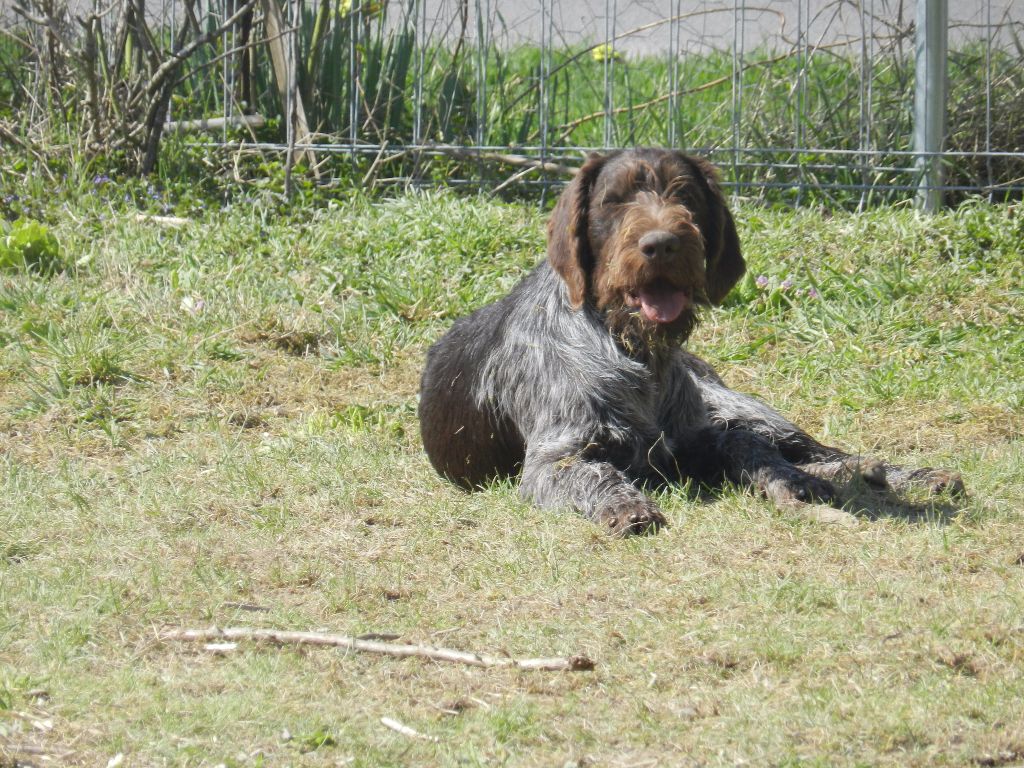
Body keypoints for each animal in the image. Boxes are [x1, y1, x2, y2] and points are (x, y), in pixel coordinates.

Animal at [415, 148, 958, 536]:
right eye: (615, 200)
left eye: (685, 196)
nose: (661, 244)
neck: (634, 351)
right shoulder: (555, 460)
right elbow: (597, 474)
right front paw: (628, 506)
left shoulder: (702, 436)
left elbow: (756, 450)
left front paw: (797, 482)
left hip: (743, 405)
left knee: (820, 450)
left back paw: (906, 474)